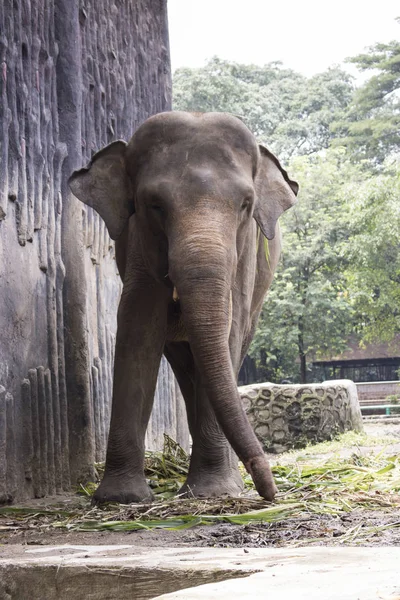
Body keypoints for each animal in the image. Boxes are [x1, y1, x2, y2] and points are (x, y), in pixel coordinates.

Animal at [69, 111, 296, 502]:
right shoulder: (138, 240)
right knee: (185, 364)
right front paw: (121, 498)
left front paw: (214, 491)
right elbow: (138, 328)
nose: (270, 493)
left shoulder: (245, 255)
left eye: (245, 205)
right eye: (154, 205)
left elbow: (229, 330)